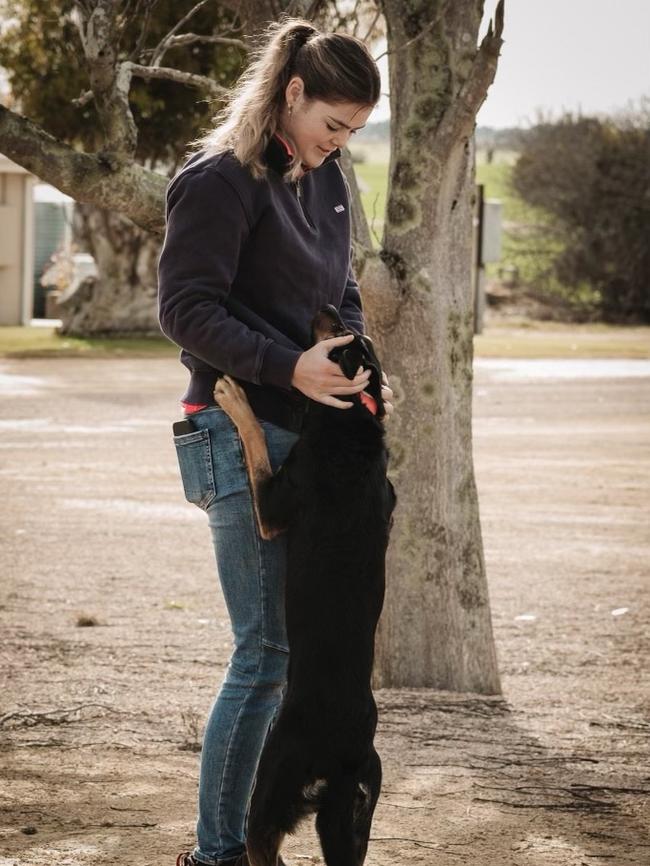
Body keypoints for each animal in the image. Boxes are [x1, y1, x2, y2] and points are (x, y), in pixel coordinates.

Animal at [213, 304, 394, 864]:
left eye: (340, 335)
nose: (330, 305)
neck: (353, 414)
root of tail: (346, 758)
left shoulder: (273, 506)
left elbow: (254, 443)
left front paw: (235, 398)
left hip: (268, 793)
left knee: (263, 846)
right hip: (352, 822)